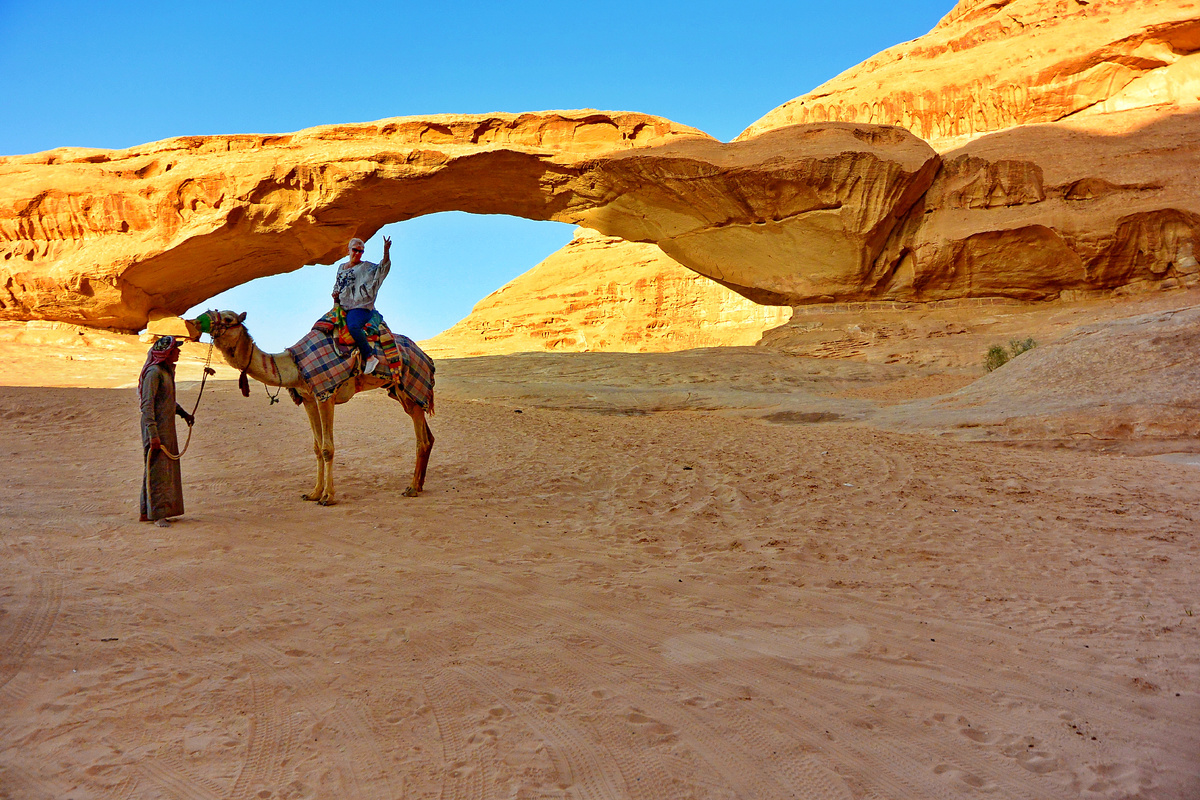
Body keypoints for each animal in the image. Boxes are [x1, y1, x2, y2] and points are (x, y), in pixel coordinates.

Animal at [184, 309, 434, 503]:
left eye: (228, 318)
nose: (195, 321)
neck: (295, 366)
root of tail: (426, 356)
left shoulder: (325, 394)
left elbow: (327, 448)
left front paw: (328, 497)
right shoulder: (308, 399)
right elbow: (316, 448)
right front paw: (313, 493)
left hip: (412, 385)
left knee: (421, 439)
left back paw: (412, 488)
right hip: (400, 392)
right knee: (427, 436)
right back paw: (419, 485)